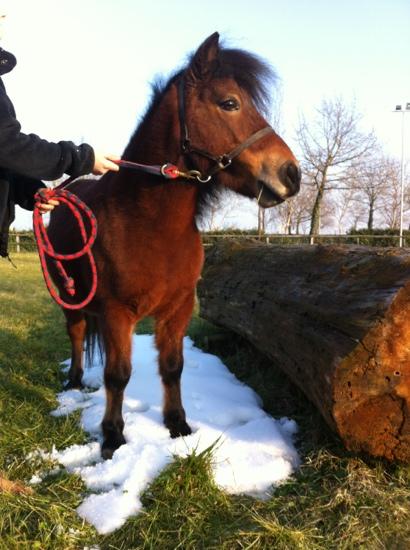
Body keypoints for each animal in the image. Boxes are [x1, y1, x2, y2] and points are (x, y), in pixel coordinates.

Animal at [48, 32, 300, 460]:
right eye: (229, 103)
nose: (292, 175)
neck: (148, 223)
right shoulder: (117, 313)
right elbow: (118, 375)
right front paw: (113, 437)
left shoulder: (178, 309)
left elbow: (172, 367)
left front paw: (178, 425)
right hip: (71, 298)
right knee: (77, 334)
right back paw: (75, 382)